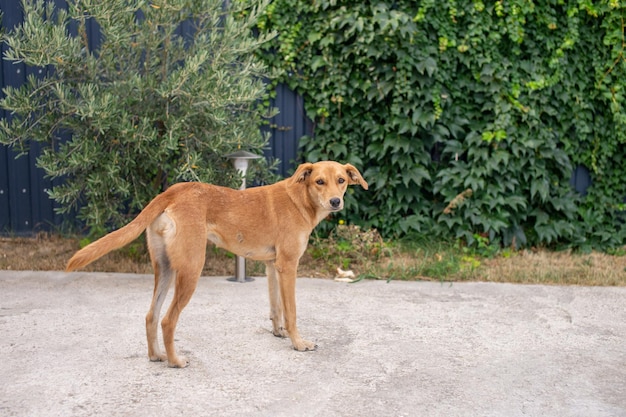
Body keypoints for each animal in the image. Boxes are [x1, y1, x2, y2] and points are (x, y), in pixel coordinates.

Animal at [66, 161, 366, 366]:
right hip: (191, 269)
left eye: (341, 180)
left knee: (151, 315)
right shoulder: (289, 266)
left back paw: (156, 355)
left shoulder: (273, 266)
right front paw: (298, 343)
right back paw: (175, 361)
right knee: (167, 320)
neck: (300, 199)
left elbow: (276, 308)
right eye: (319, 181)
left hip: (165, 269)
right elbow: (291, 312)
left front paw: (278, 332)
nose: (335, 202)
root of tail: (173, 191)